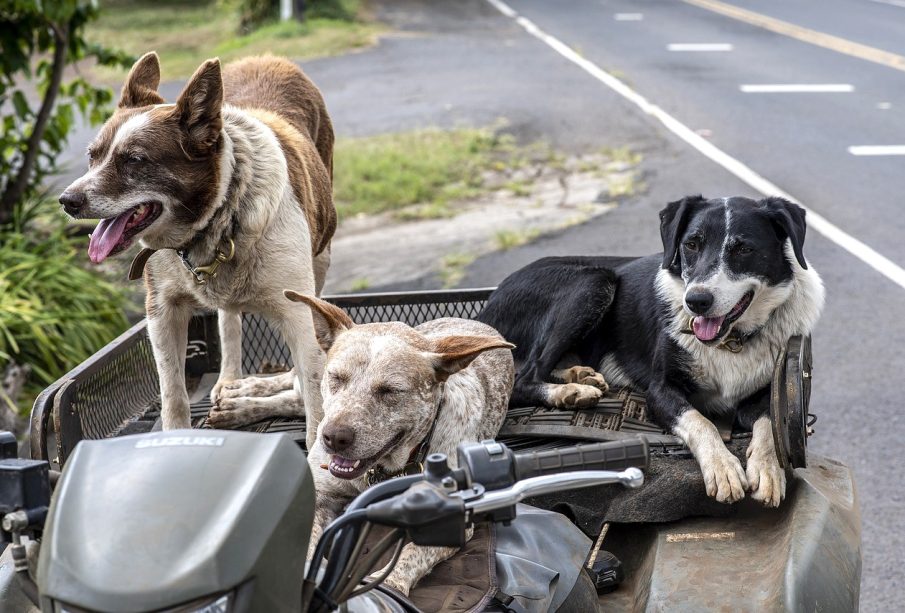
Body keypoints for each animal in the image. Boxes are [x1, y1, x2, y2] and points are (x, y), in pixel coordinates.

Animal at [59, 51, 336, 440]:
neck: (215, 219)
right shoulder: (162, 311)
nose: (67, 201)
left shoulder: (299, 314)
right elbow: (173, 394)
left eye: (134, 160)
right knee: (229, 318)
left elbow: (315, 404)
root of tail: (267, 57)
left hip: (322, 255)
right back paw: (231, 382)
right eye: (92, 156)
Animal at [288, 292, 516, 592]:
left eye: (390, 391)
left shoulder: (450, 518)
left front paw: (389, 586)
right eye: (335, 377)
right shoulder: (320, 496)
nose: (334, 437)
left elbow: (409, 557)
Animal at [480, 196, 828, 506]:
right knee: (523, 377)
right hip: (594, 281)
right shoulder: (660, 391)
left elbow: (770, 423)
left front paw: (769, 470)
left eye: (743, 249)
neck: (731, 340)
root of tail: (487, 307)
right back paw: (570, 393)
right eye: (691, 245)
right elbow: (700, 421)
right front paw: (723, 468)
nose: (695, 301)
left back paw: (580, 377)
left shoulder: (770, 390)